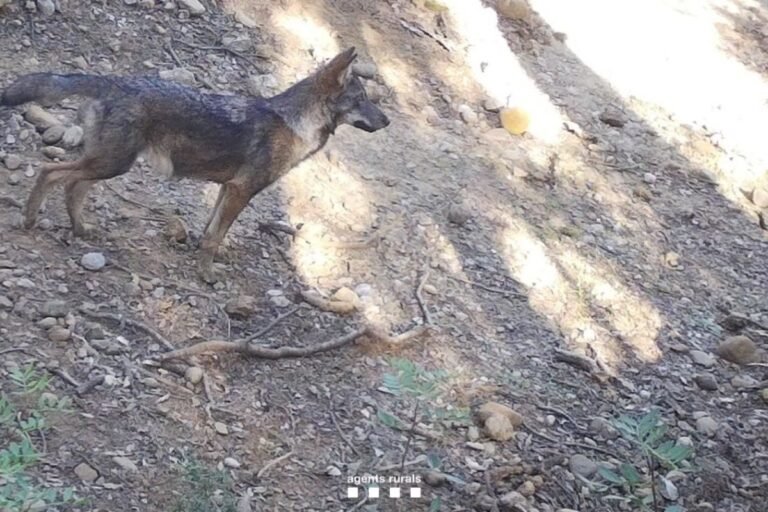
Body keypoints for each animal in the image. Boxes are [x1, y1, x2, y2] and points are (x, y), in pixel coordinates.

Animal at [0, 47, 389, 282]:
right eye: (362, 100)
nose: (387, 121)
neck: (295, 124)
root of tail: (114, 81)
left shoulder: (226, 188)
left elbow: (210, 230)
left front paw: (203, 259)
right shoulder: (241, 191)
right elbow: (215, 237)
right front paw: (206, 275)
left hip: (108, 164)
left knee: (71, 186)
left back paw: (80, 229)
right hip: (111, 164)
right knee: (51, 172)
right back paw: (30, 219)